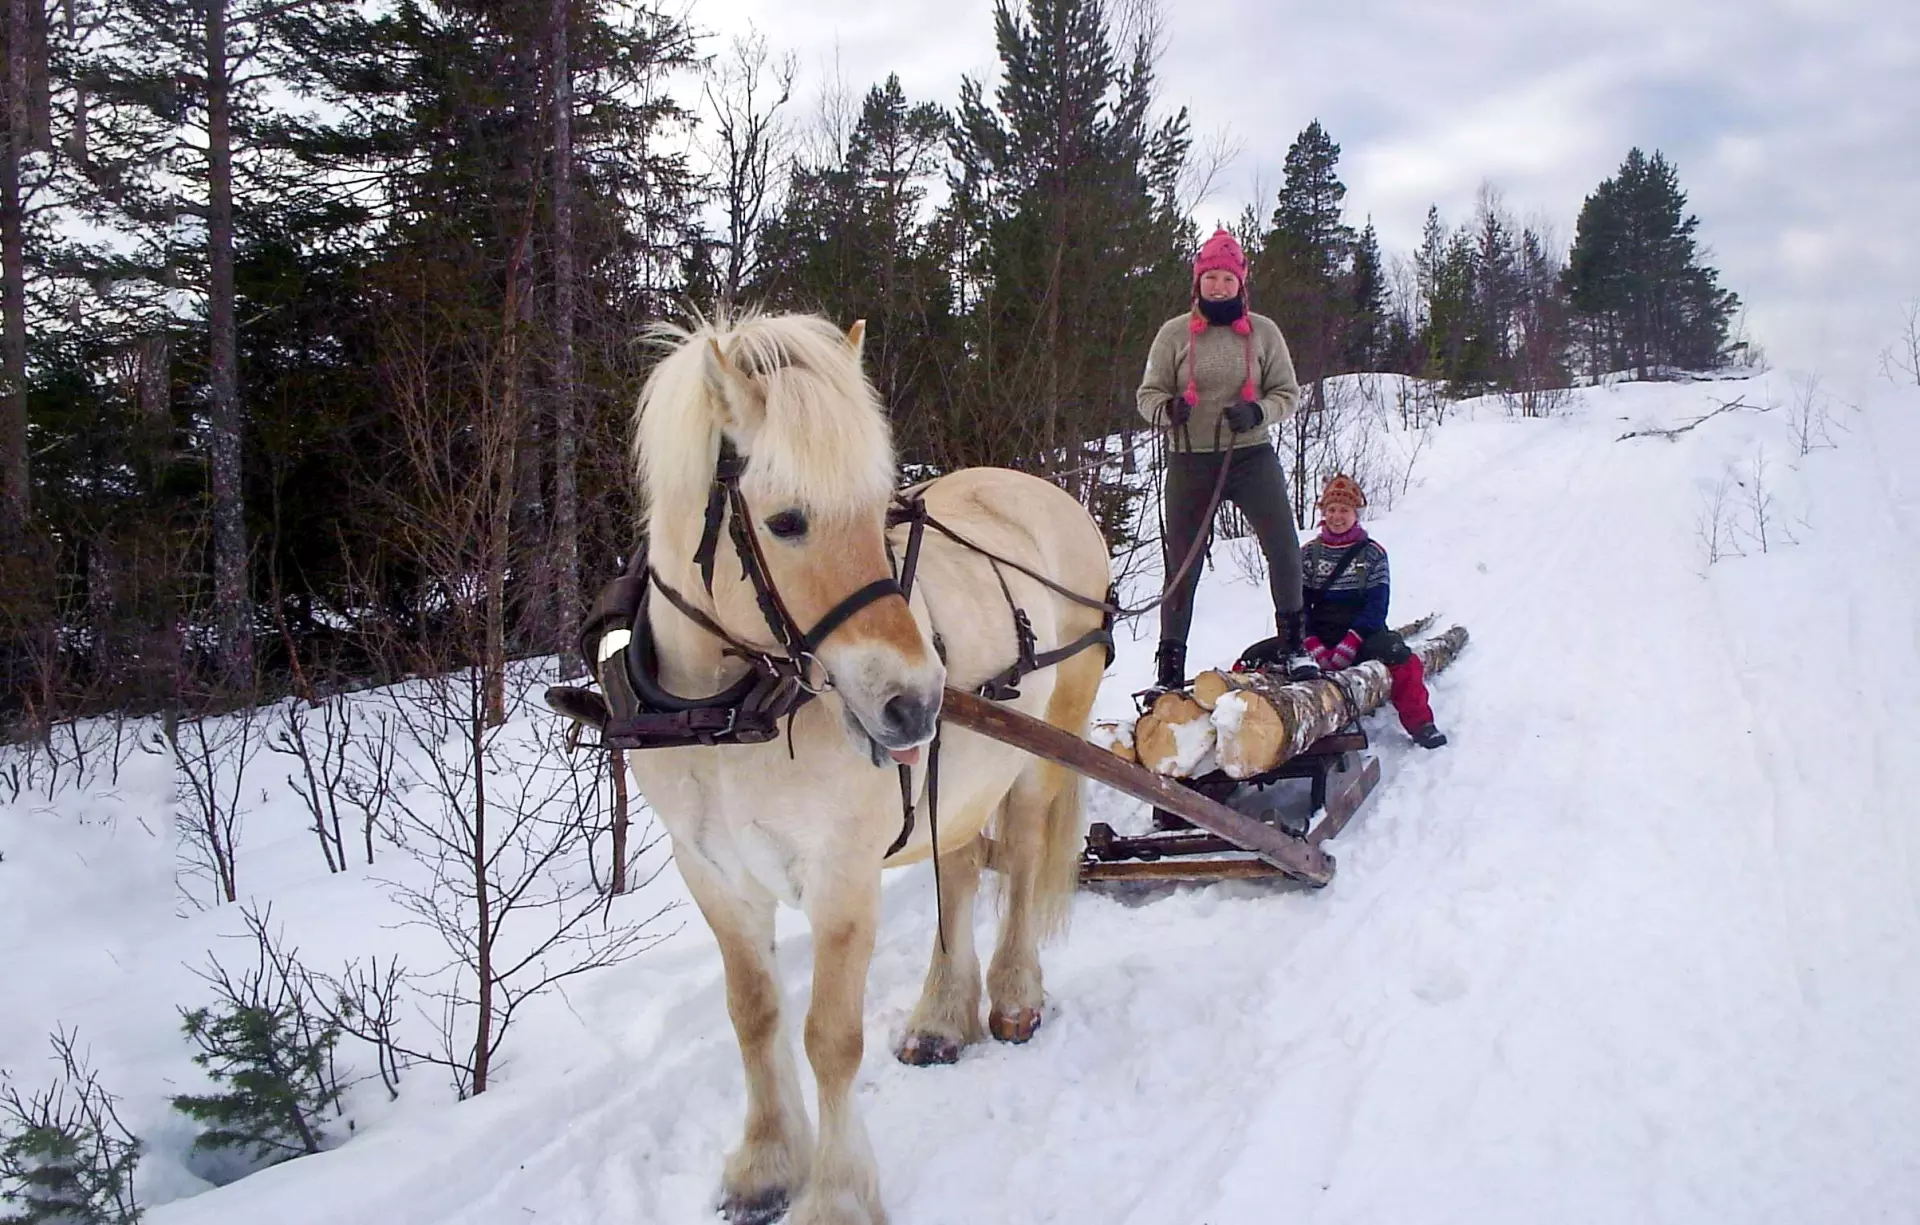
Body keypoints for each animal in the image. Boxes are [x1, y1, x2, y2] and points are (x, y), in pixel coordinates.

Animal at [560, 314, 1113, 1225]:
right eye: (786, 520)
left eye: (878, 504)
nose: (917, 703)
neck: (727, 717)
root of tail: (1048, 494)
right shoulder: (714, 873)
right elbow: (753, 1015)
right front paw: (764, 1165)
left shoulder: (841, 876)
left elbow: (830, 1037)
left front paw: (837, 1193)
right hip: (955, 784)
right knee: (960, 871)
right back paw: (941, 1015)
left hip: (1043, 748)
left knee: (1027, 863)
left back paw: (1013, 996)